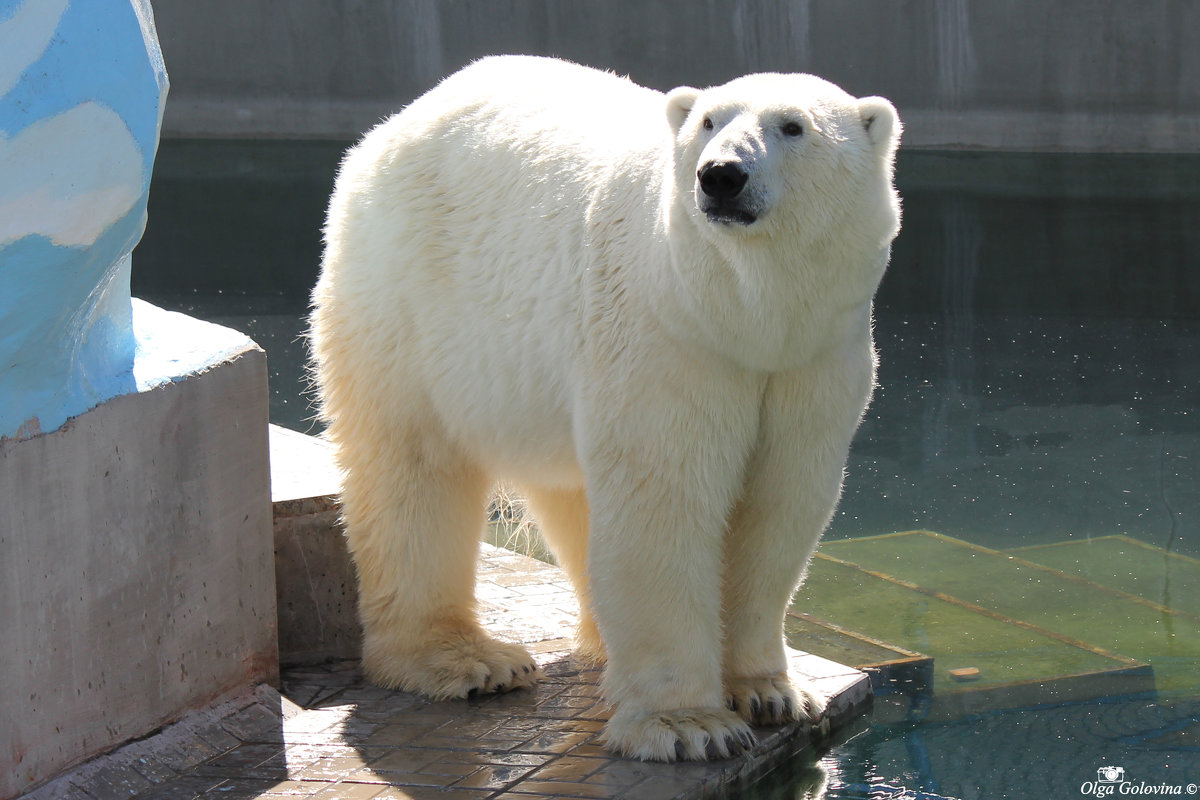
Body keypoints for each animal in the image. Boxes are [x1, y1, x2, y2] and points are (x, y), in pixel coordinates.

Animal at [309, 57, 902, 762]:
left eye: (793, 126)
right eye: (710, 122)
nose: (721, 175)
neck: (743, 317)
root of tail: (394, 125)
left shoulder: (812, 361)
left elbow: (778, 506)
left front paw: (770, 693)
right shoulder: (666, 337)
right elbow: (666, 501)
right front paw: (689, 725)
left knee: (569, 494)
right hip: (405, 299)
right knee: (412, 469)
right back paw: (467, 660)